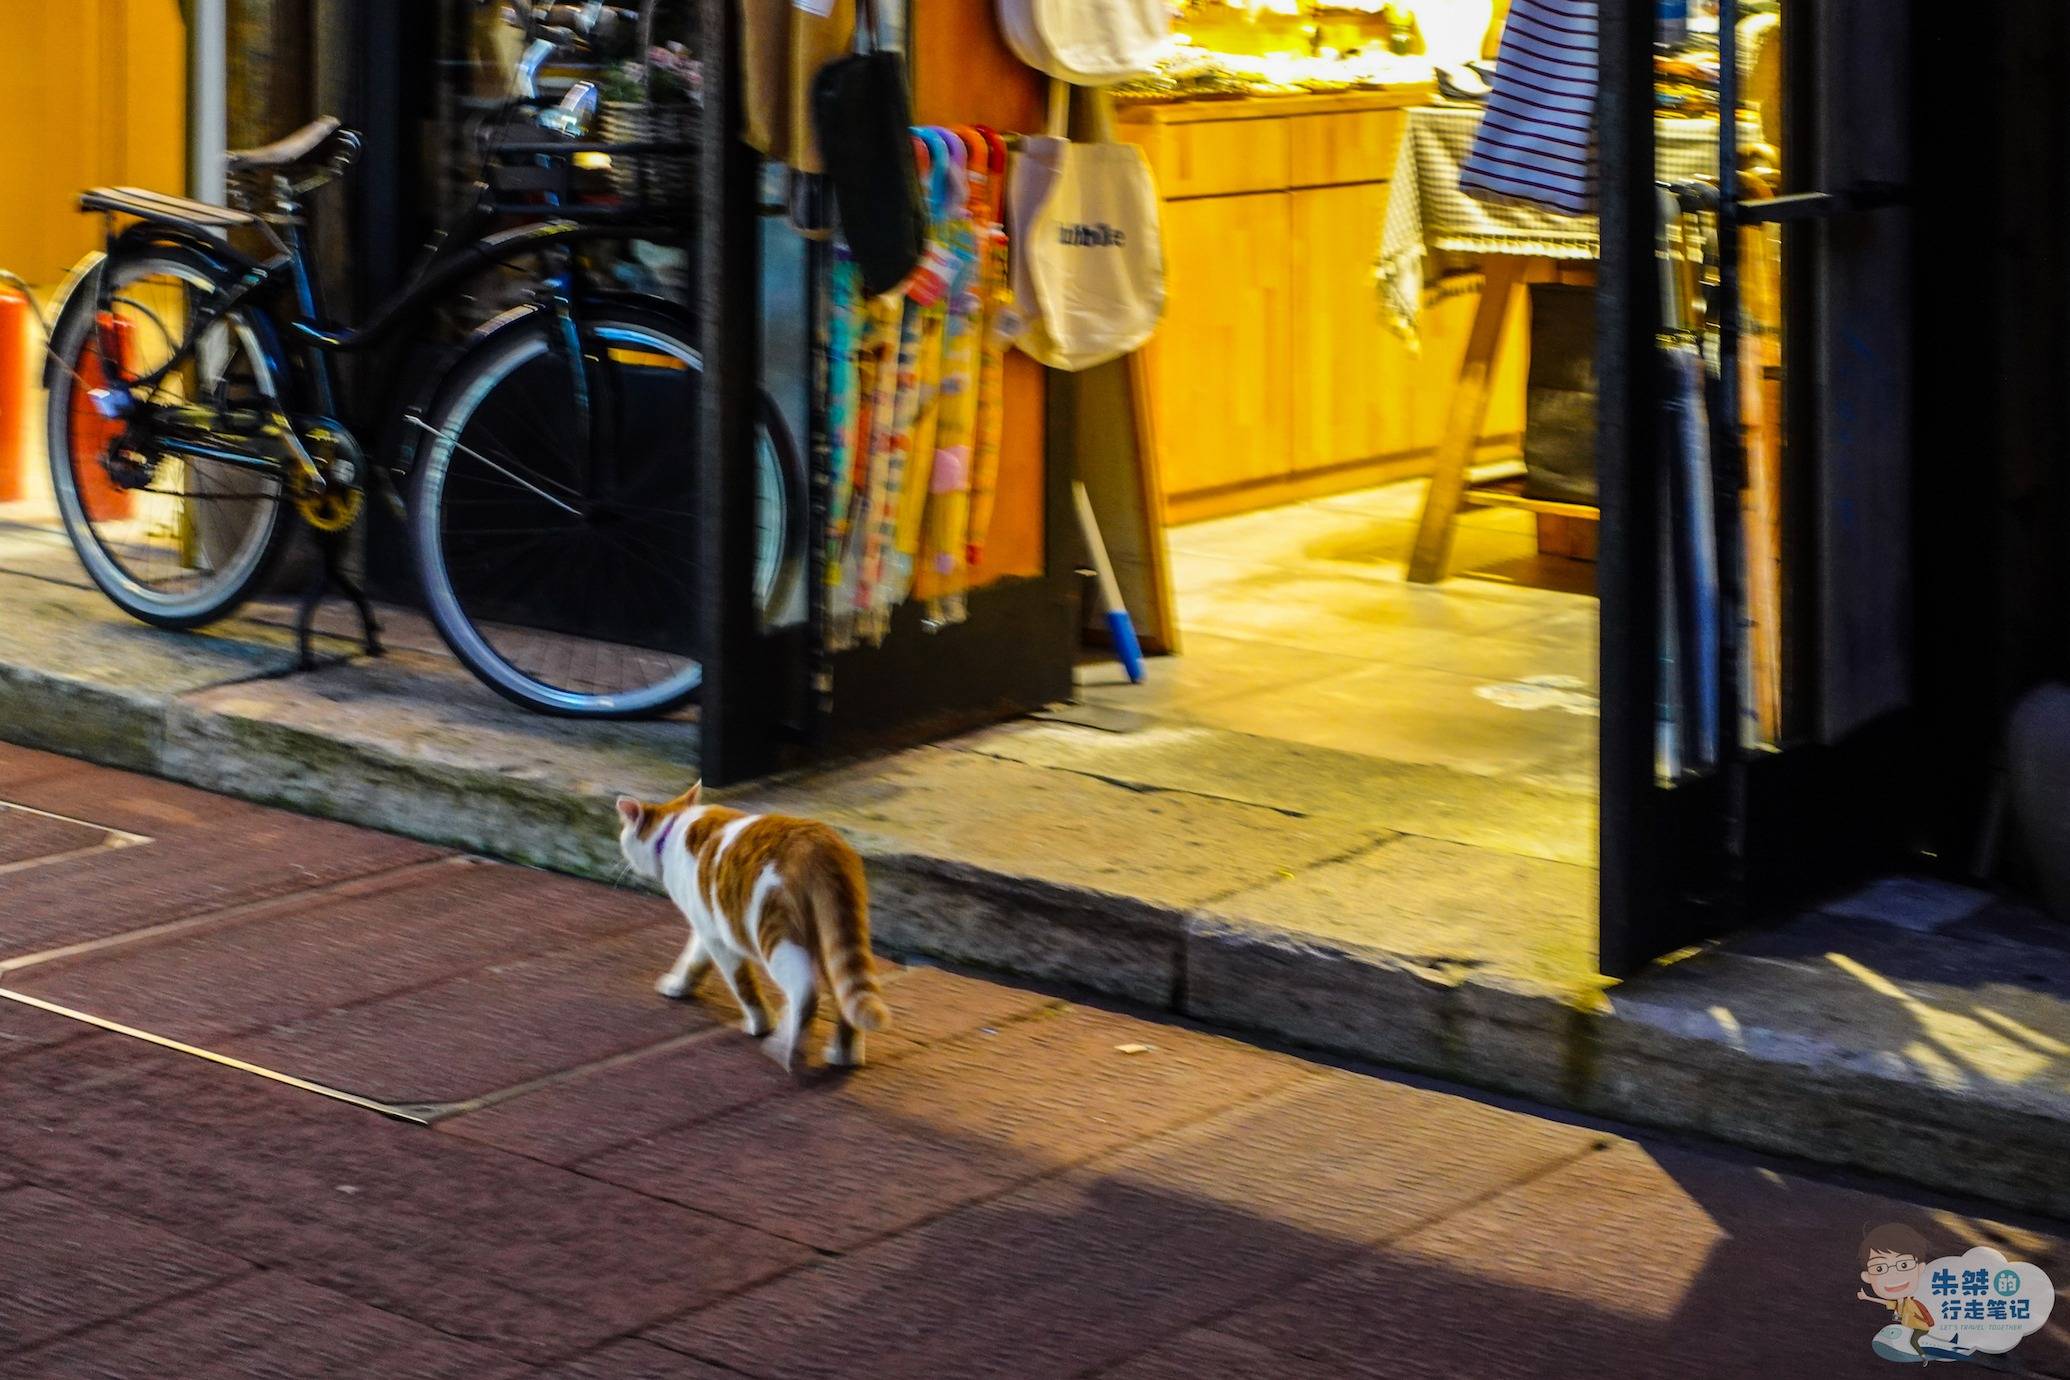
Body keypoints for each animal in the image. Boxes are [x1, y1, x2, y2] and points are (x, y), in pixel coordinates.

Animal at [604, 786, 881, 1067]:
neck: (673, 826)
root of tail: (821, 844)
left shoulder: (719, 939)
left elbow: (742, 984)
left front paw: (760, 1023)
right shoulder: (707, 926)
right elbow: (693, 960)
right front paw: (679, 985)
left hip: (776, 937)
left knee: (805, 994)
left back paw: (785, 1047)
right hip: (831, 937)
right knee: (844, 996)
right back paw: (843, 1054)